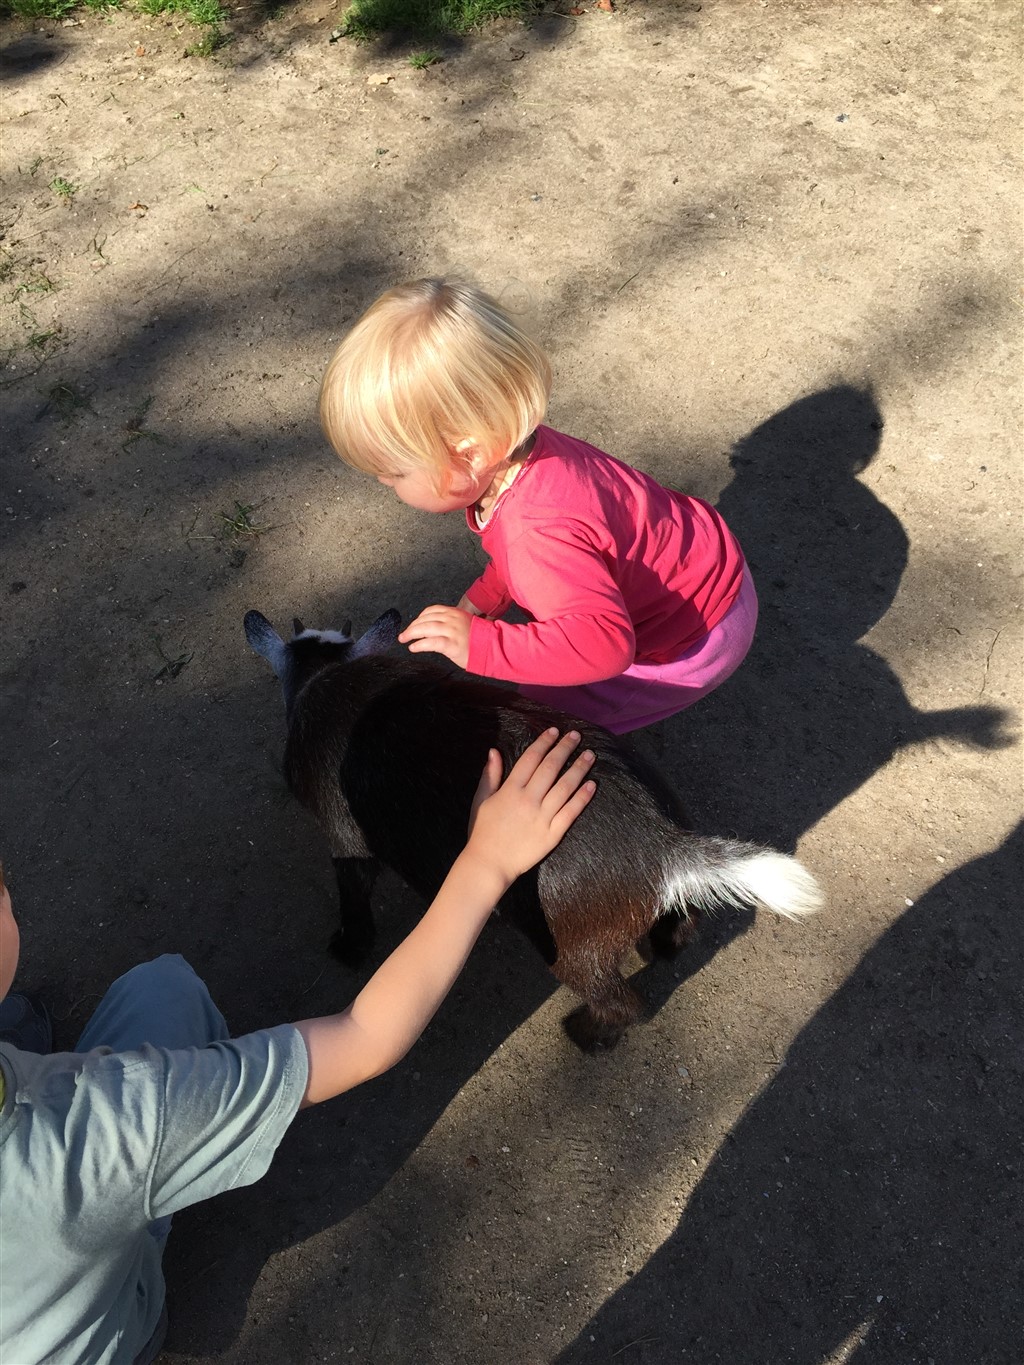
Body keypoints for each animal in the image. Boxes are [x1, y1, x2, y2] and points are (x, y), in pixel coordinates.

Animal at [244, 608, 822, 1051]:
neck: (323, 678)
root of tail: (663, 844)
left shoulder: (347, 838)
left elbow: (354, 890)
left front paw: (348, 947)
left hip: (571, 943)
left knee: (622, 1002)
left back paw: (586, 1036)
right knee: (683, 925)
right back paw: (659, 948)